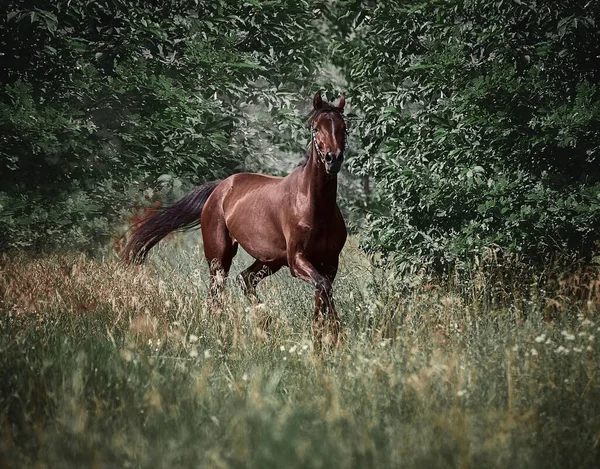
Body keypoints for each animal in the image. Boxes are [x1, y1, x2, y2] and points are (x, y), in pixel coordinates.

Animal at [122, 92, 346, 344]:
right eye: (316, 128)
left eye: (344, 128)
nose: (333, 159)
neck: (314, 206)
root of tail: (220, 188)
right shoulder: (297, 260)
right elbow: (324, 289)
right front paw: (334, 336)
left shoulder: (329, 263)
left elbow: (322, 294)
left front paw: (327, 339)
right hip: (220, 258)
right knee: (216, 296)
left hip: (270, 260)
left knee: (245, 279)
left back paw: (265, 323)